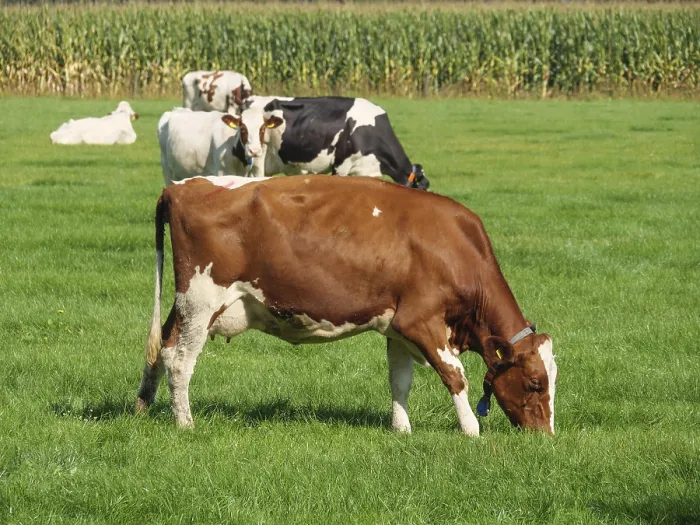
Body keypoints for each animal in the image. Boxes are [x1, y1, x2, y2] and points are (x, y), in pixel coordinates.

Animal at [136, 175, 557, 435]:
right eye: (535, 383)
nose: (546, 437)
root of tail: (180, 187)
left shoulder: (397, 327)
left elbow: (400, 380)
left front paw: (401, 429)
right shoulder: (421, 320)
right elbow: (455, 376)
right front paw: (472, 430)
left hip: (188, 305)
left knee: (159, 348)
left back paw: (143, 407)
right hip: (201, 301)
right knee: (178, 359)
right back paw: (185, 423)